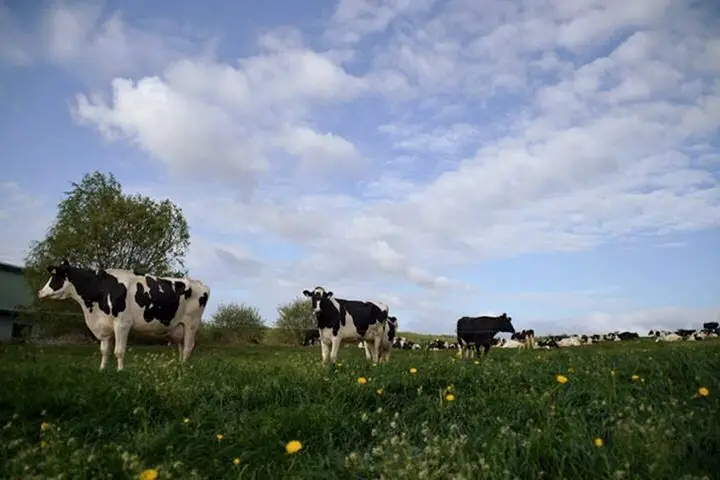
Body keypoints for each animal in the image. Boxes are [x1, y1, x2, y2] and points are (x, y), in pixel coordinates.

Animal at [37, 260, 210, 370]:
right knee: (181, 348)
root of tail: (200, 284)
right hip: (178, 327)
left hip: (192, 324)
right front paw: (102, 369)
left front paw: (120, 371)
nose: (40, 292)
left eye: (55, 277)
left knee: (188, 347)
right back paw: (180, 366)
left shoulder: (122, 323)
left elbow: (119, 351)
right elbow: (104, 351)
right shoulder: (104, 326)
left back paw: (183, 369)